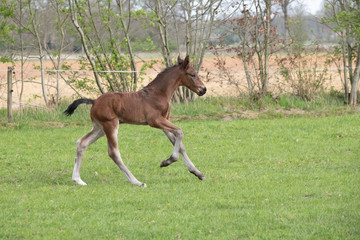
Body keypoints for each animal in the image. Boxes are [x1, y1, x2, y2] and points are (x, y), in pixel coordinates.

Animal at [63, 55, 207, 187]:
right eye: (193, 74)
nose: (203, 89)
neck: (158, 93)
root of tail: (94, 101)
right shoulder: (155, 121)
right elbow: (180, 132)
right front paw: (167, 161)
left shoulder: (164, 122)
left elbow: (179, 144)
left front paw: (198, 173)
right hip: (111, 125)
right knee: (113, 152)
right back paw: (137, 182)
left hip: (99, 128)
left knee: (82, 143)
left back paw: (78, 180)